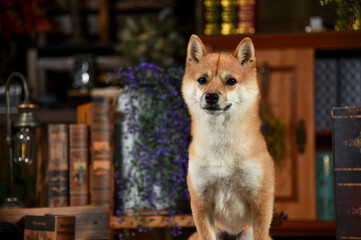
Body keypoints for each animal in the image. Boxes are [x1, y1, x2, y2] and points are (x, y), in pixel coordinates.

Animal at [181, 34, 274, 240]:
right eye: (202, 79)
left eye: (231, 81)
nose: (211, 96)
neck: (221, 143)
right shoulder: (200, 201)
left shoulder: (260, 199)